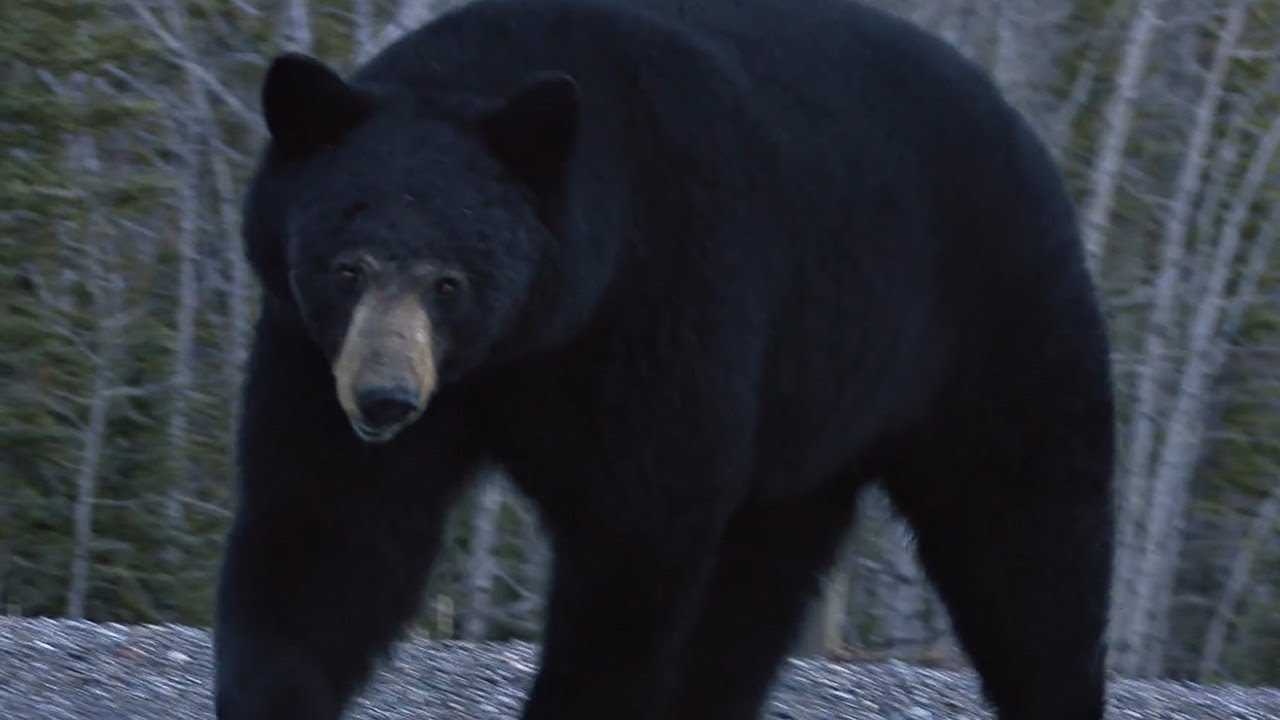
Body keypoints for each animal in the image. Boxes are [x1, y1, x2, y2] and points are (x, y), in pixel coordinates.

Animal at [212, 0, 1116, 719]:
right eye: (347, 267)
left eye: (450, 281)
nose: (386, 399)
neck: (529, 340)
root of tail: (1019, 128)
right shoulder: (315, 353)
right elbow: (327, 526)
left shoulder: (661, 315)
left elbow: (636, 543)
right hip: (804, 430)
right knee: (756, 589)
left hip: (990, 341)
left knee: (1030, 551)